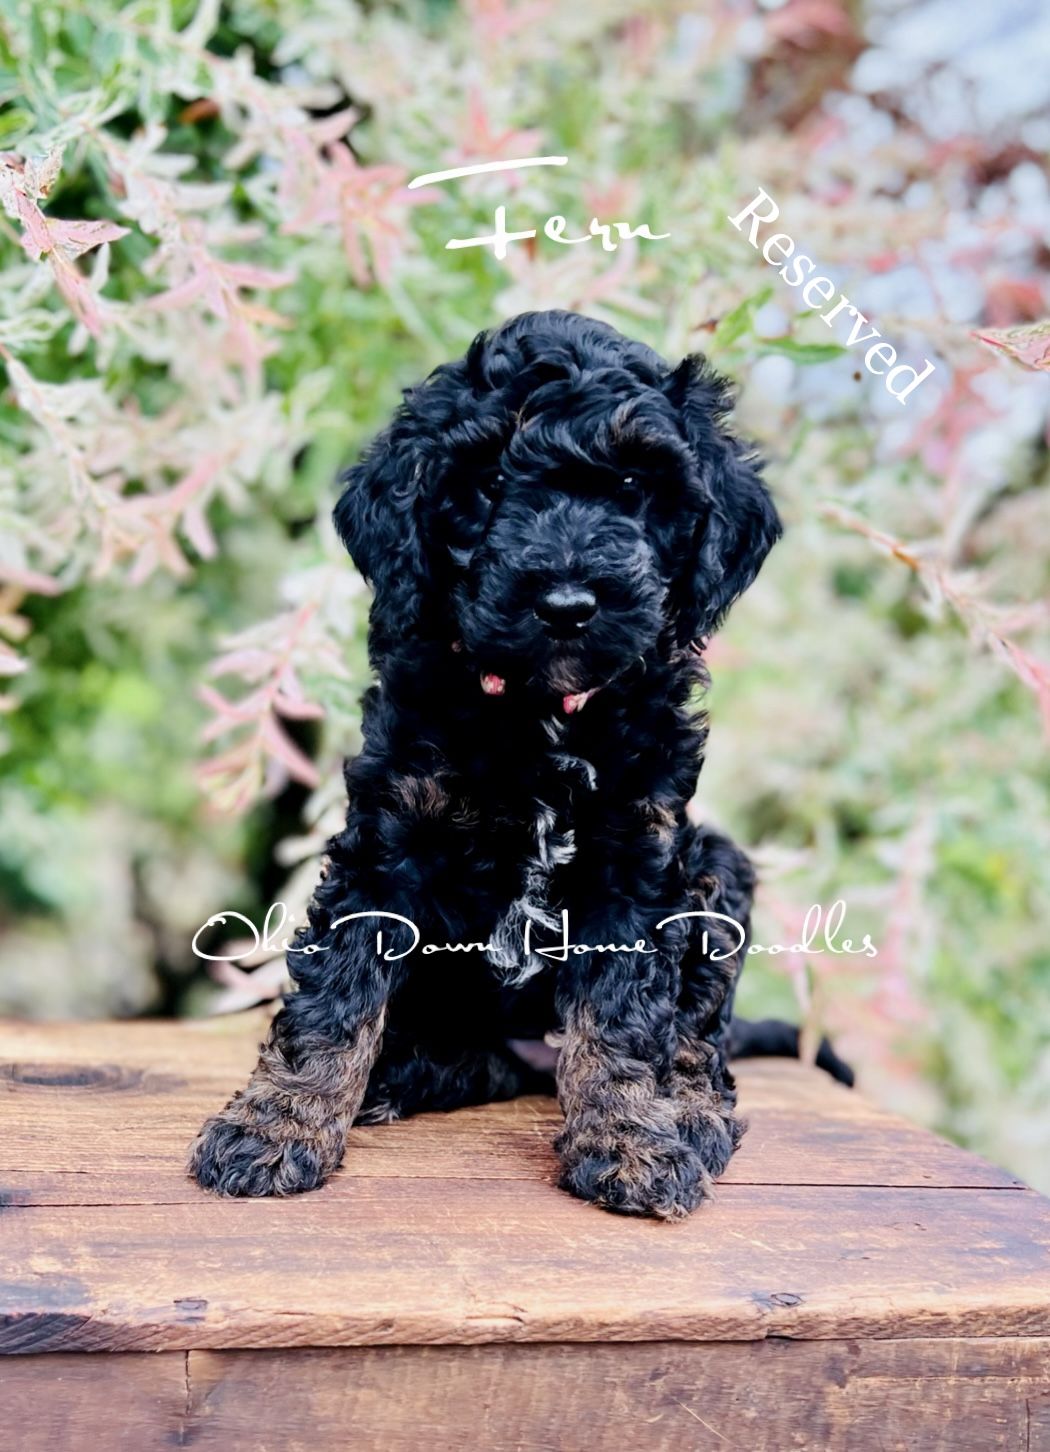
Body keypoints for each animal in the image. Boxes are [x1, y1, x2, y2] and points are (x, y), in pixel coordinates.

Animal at [190, 309, 798, 1219]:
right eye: (485, 485)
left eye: (632, 485)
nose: (567, 603)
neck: (539, 713)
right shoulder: (390, 836)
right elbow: (335, 990)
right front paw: (278, 1125)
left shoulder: (637, 854)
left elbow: (624, 1014)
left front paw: (631, 1139)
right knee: (478, 1058)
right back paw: (398, 1075)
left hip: (715, 867)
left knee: (697, 1037)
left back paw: (689, 1114)